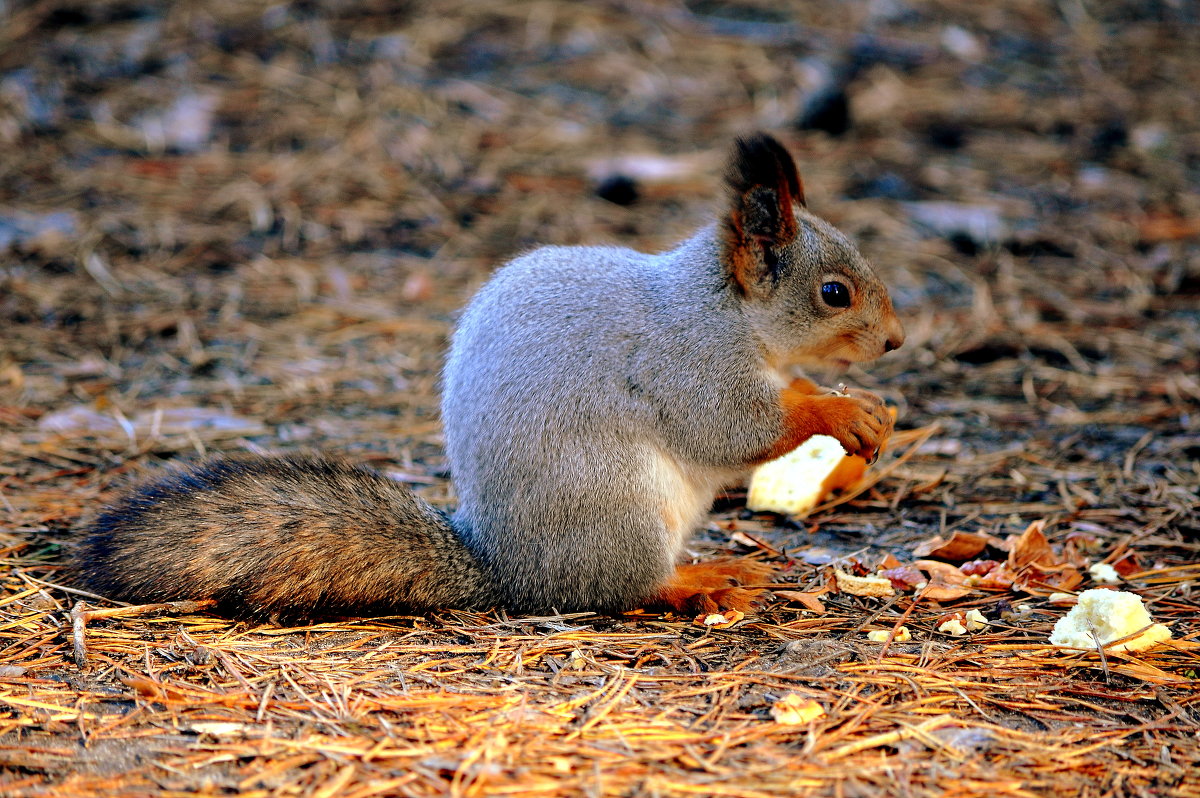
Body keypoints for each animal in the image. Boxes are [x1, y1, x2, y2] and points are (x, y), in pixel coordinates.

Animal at [70, 133, 902, 619]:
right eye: (834, 293)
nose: (895, 341)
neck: (725, 310)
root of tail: (506, 569)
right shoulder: (687, 359)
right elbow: (733, 427)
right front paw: (836, 413)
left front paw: (861, 407)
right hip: (617, 507)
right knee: (621, 591)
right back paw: (702, 582)